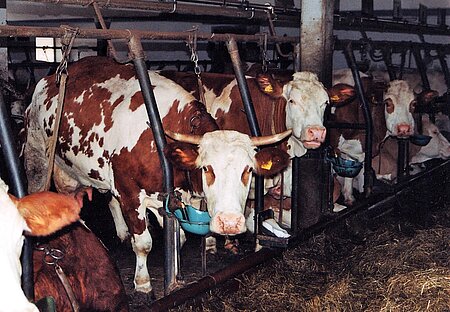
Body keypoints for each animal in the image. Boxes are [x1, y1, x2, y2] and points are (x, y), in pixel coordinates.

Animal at [23, 56, 292, 294]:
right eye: (207, 168)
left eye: (248, 170)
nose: (230, 223)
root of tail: (48, 80)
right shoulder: (129, 193)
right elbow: (143, 243)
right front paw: (143, 284)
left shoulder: (167, 197)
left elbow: (178, 238)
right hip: (38, 157)